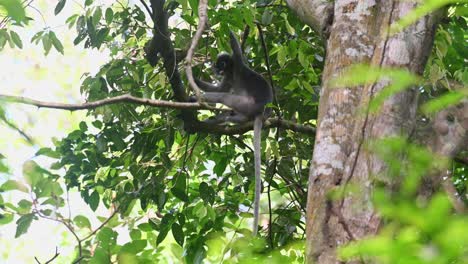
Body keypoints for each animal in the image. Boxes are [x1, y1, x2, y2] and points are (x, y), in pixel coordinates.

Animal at [192, 31, 272, 235]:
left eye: (220, 64)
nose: (215, 69)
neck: (231, 70)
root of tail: (261, 110)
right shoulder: (228, 78)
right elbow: (218, 88)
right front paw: (193, 78)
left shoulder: (238, 66)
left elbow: (237, 51)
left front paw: (230, 31)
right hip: (245, 109)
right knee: (229, 110)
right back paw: (216, 119)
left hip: (246, 103)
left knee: (224, 97)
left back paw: (198, 100)